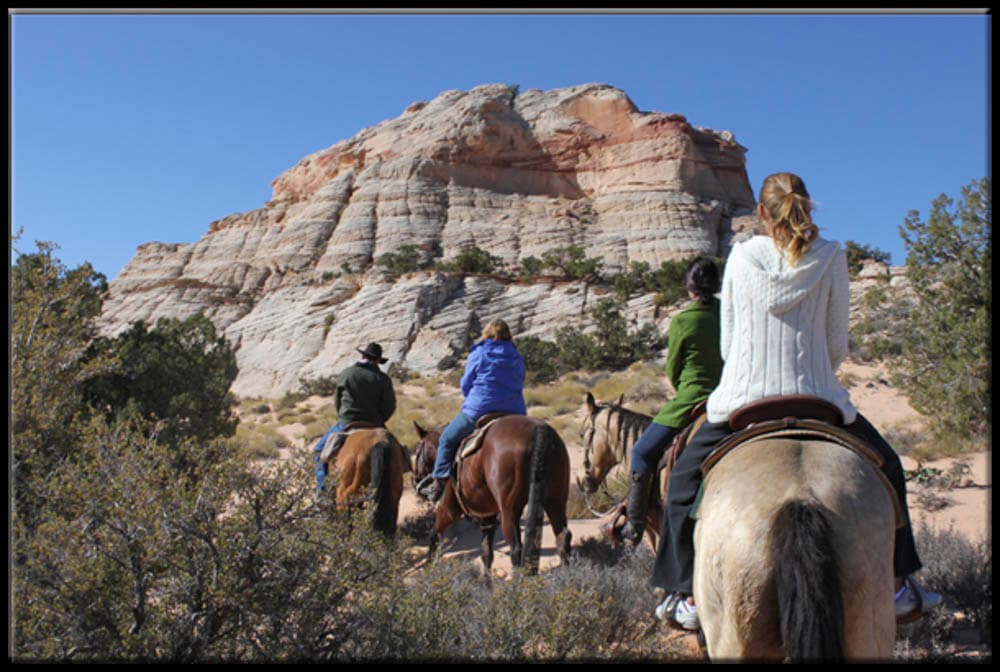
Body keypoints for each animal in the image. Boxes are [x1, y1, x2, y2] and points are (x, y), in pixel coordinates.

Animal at [412, 418, 572, 576]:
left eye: (417, 450)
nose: (415, 479)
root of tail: (539, 431)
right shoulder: (487, 516)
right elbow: (486, 552)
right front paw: (486, 582)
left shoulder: (448, 510)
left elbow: (433, 535)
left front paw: (428, 569)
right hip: (556, 501)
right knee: (562, 537)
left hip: (510, 510)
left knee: (516, 548)